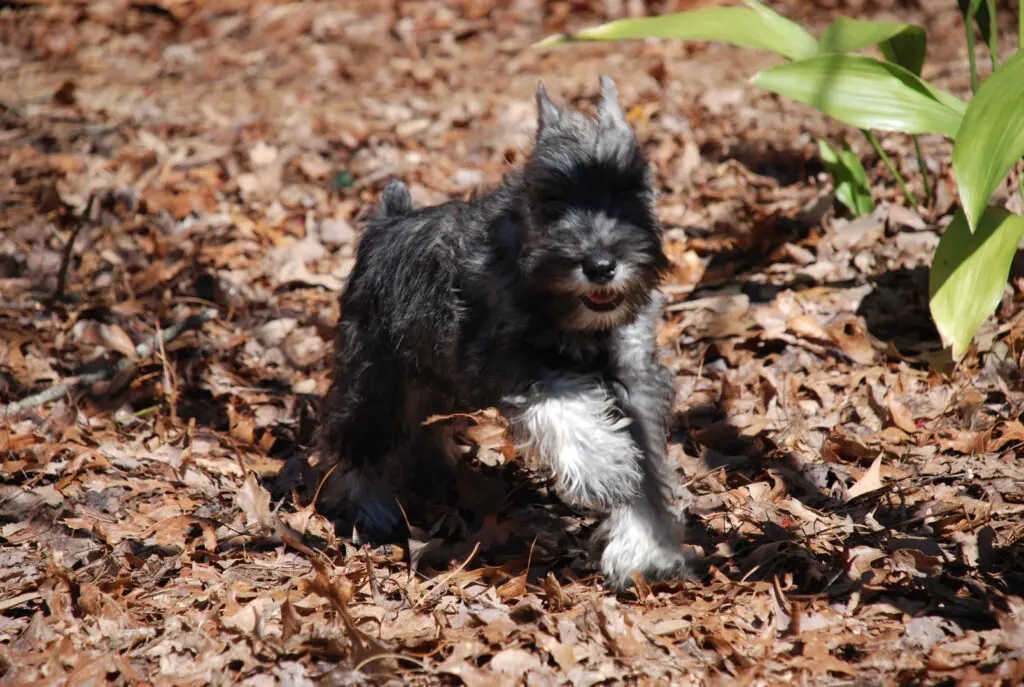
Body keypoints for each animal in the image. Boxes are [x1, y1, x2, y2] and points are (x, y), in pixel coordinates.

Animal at [315, 76, 692, 589]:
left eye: (628, 192)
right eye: (552, 201)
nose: (600, 265)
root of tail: (387, 221)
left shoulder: (634, 381)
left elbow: (648, 469)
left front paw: (647, 548)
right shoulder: (513, 362)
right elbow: (568, 409)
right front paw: (604, 468)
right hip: (376, 376)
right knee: (356, 440)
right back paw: (368, 506)